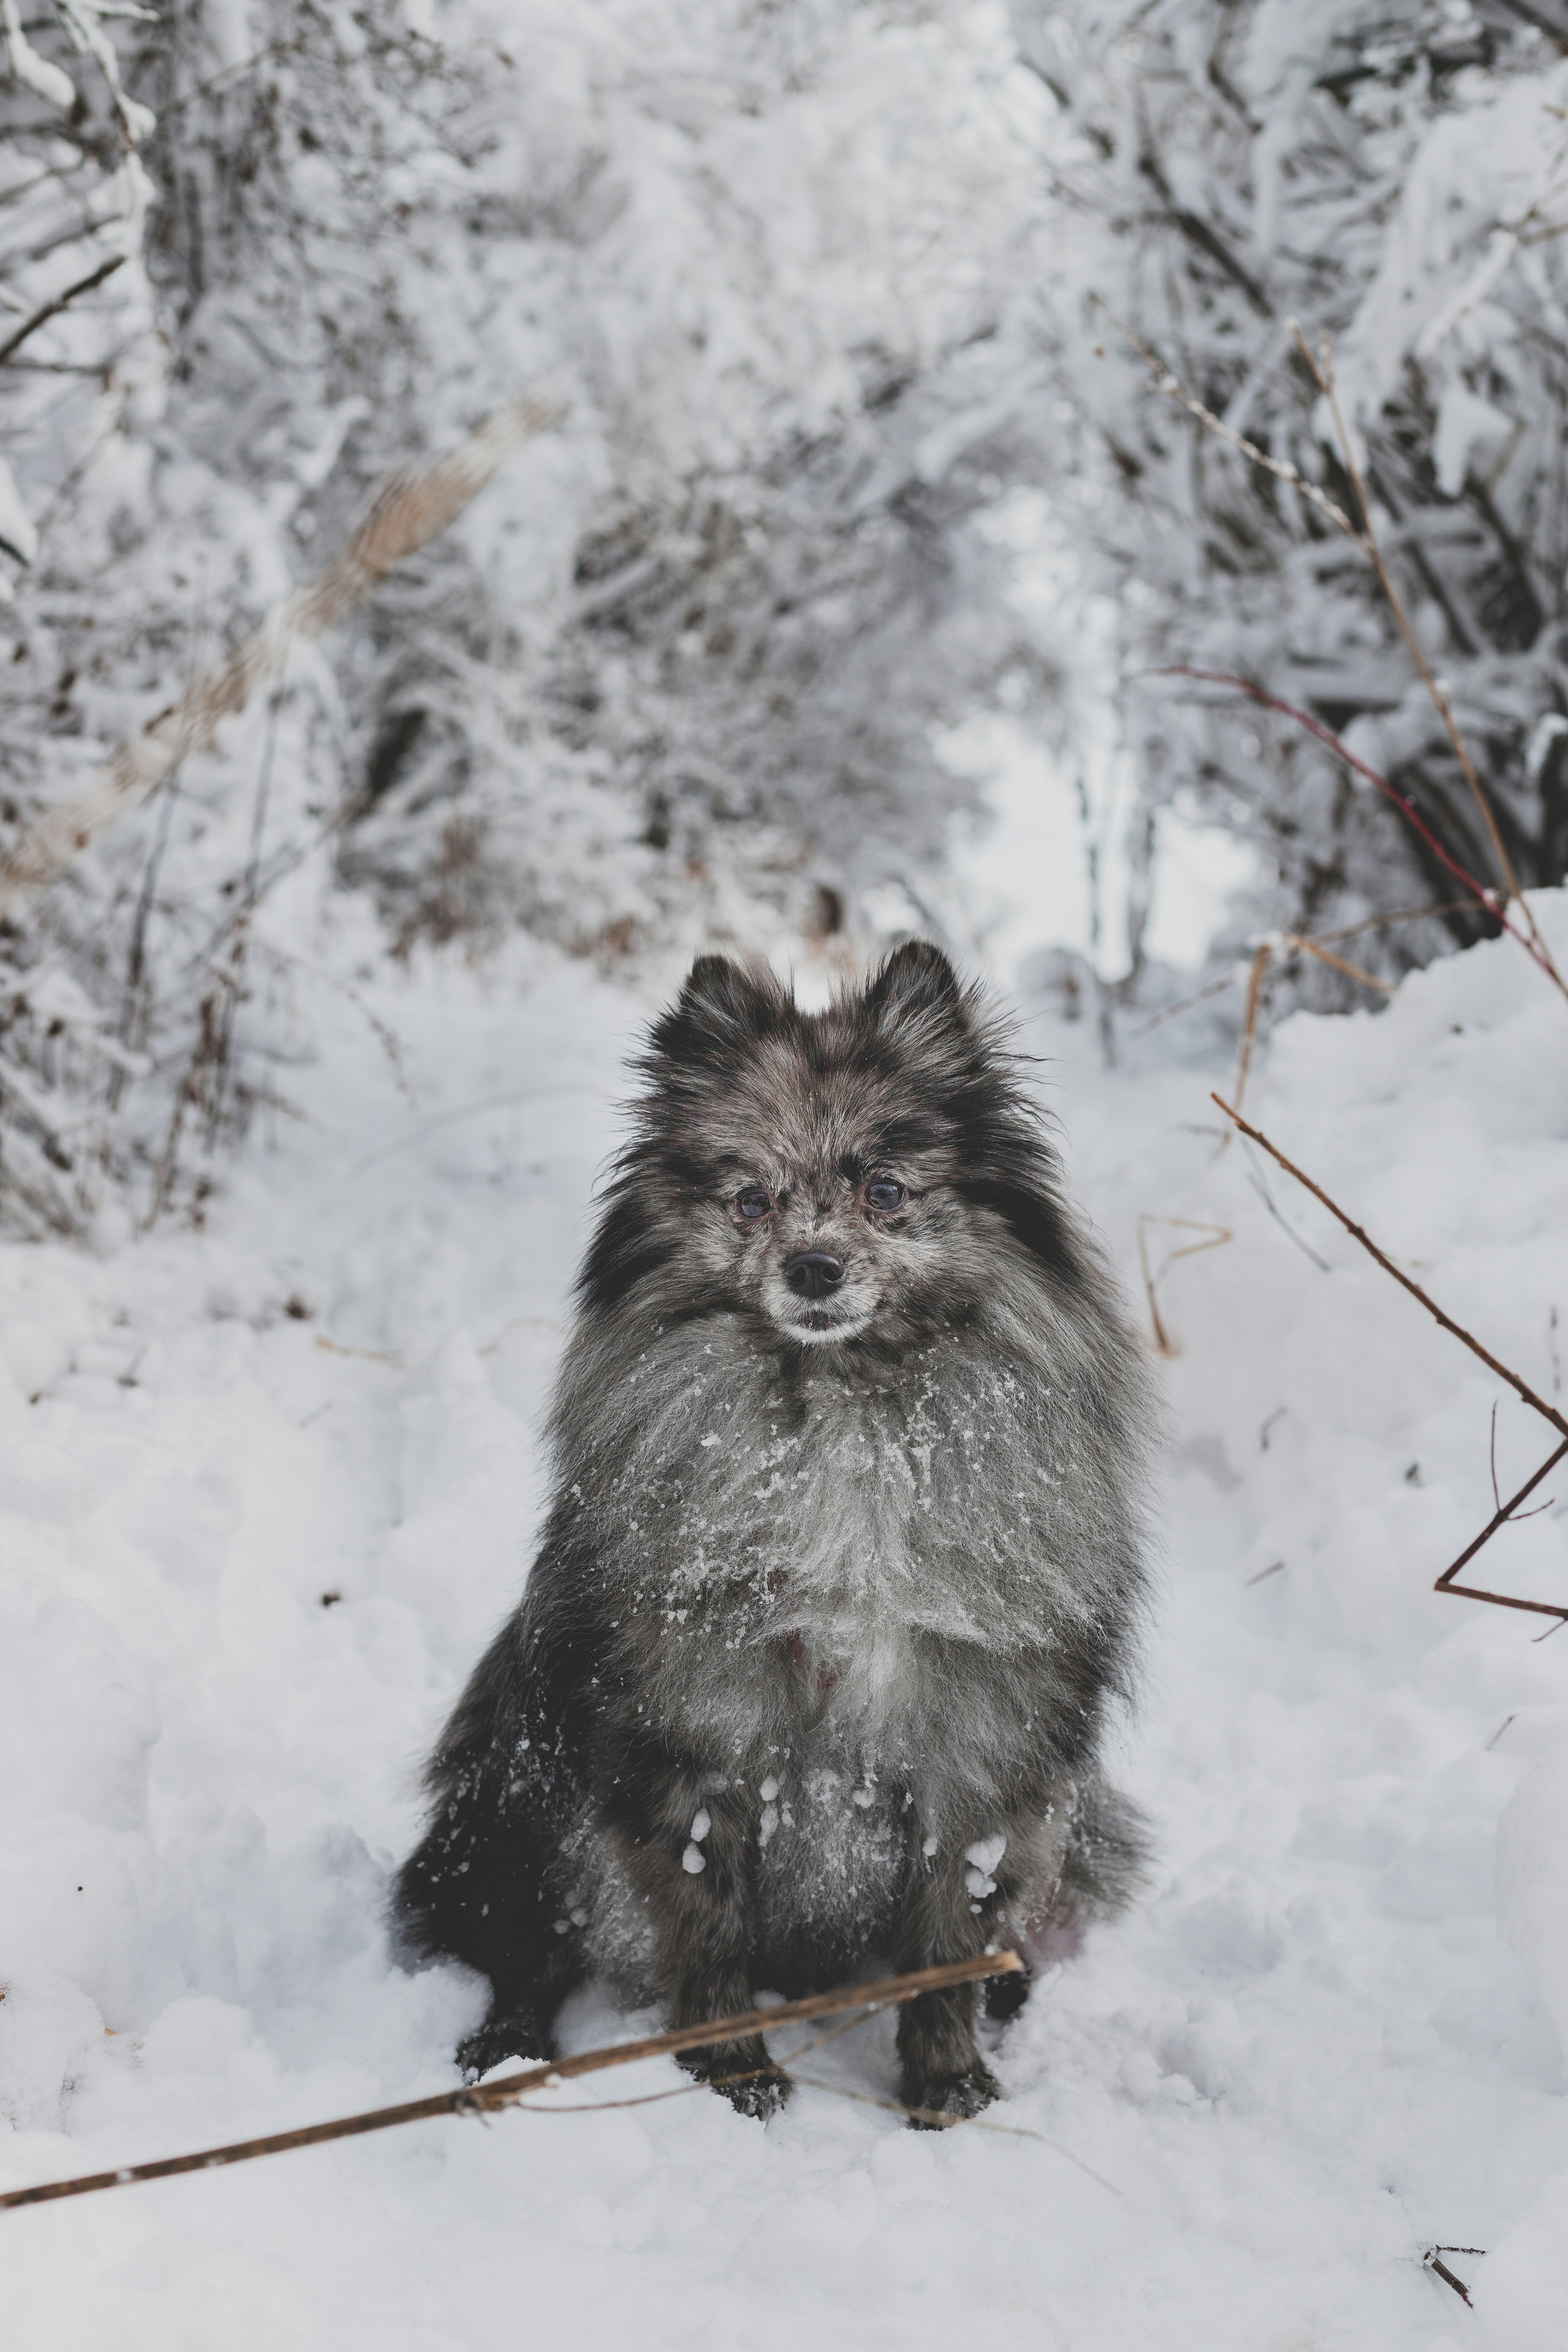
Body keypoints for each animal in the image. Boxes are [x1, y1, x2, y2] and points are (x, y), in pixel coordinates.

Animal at [392, 945, 1152, 2126]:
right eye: (751, 1201)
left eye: (884, 1190)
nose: (814, 1267)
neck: (844, 1417)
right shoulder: (693, 1753)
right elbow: (708, 1943)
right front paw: (733, 2074)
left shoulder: (977, 1767)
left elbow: (949, 1946)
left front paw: (948, 2083)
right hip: (520, 1802)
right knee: (526, 1953)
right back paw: (506, 2052)